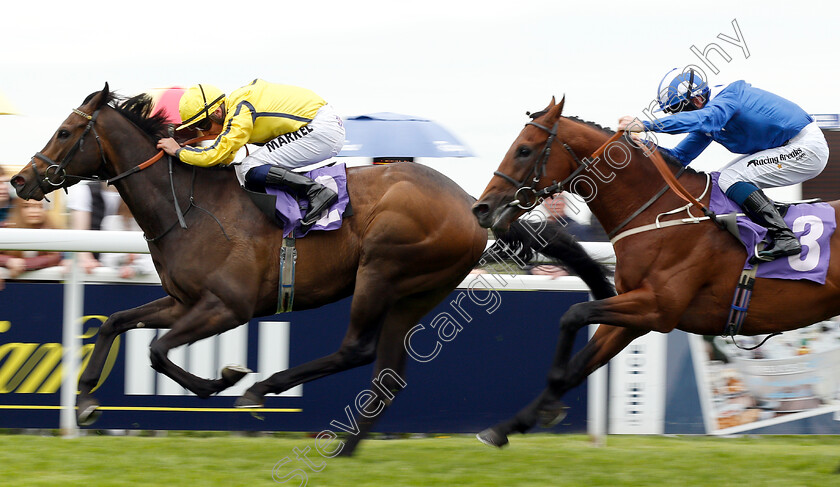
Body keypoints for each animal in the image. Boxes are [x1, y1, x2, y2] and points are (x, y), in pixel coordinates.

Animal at [8, 86, 612, 456]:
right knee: (387, 371)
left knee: (356, 349)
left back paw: (267, 388)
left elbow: (158, 351)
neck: (190, 206)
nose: (20, 181)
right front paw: (86, 400)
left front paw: (225, 379)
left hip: (382, 269)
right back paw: (345, 448)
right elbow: (115, 323)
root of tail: (470, 202)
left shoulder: (227, 307)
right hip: (417, 292)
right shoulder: (183, 301)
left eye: (66, 132)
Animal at [470, 97, 840, 448]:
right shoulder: (636, 316)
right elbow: (580, 364)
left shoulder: (657, 307)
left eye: (524, 150)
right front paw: (506, 427)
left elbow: (574, 314)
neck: (660, 214)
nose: (481, 208)